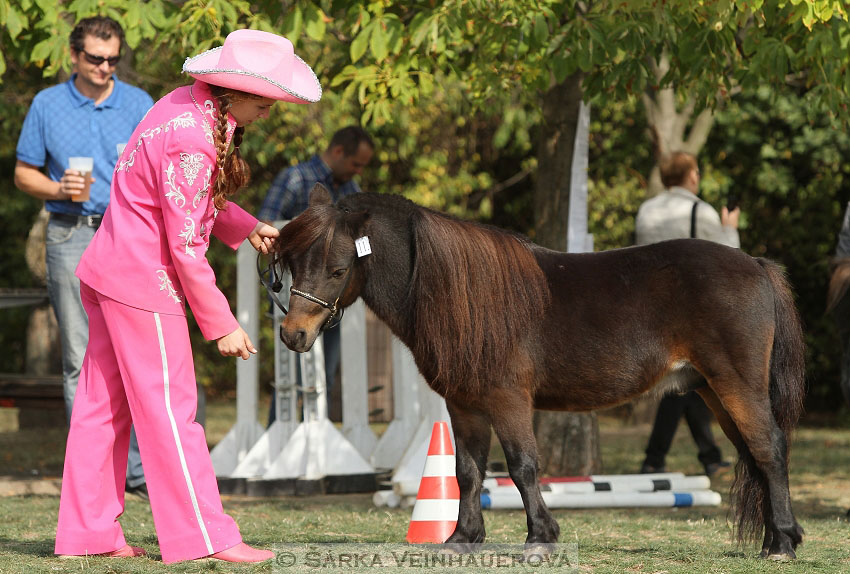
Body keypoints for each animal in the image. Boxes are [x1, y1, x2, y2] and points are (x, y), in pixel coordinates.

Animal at [272, 186, 800, 564]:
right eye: (292, 262)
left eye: (338, 269)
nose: (294, 334)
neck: (460, 292)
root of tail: (755, 264)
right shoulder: (464, 404)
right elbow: (467, 472)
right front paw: (463, 537)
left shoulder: (508, 400)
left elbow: (523, 466)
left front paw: (541, 538)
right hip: (712, 390)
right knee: (754, 454)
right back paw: (777, 537)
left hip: (736, 386)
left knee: (768, 450)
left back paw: (781, 544)